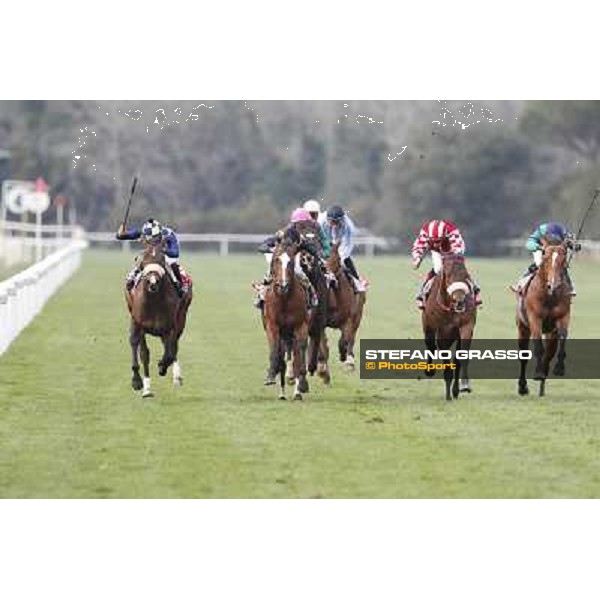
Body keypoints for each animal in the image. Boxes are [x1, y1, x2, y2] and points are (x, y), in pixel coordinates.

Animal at [124, 241, 192, 396]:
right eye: (142, 261)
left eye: (162, 260)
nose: (153, 282)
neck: (154, 300)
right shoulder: (139, 324)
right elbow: (143, 352)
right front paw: (142, 385)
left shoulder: (171, 326)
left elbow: (170, 352)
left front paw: (162, 366)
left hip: (181, 317)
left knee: (173, 347)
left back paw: (176, 375)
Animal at [262, 237, 310, 400]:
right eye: (276, 259)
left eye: (291, 261)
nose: (283, 285)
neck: (284, 299)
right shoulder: (273, 325)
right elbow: (275, 349)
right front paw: (271, 375)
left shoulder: (300, 326)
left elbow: (299, 355)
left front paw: (300, 387)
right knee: (282, 356)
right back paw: (282, 392)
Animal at [318, 241, 366, 382]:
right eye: (323, 258)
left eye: (338, 259)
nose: (328, 275)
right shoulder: (320, 322)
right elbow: (323, 346)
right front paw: (323, 371)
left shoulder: (349, 320)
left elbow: (344, 340)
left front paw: (345, 357)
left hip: (358, 317)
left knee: (351, 338)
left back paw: (348, 358)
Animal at [422, 255, 478, 400]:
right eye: (447, 276)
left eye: (466, 275)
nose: (459, 300)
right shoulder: (442, 332)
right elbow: (445, 361)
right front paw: (448, 395)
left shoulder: (466, 326)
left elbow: (461, 356)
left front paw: (464, 385)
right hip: (428, 327)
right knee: (430, 345)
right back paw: (430, 371)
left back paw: (456, 390)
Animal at [516, 241, 572, 396]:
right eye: (545, 259)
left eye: (563, 260)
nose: (553, 285)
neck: (549, 296)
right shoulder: (535, 318)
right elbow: (538, 347)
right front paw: (538, 373)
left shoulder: (563, 317)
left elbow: (562, 338)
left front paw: (559, 368)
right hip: (522, 327)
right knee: (523, 356)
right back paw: (523, 387)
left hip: (550, 333)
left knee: (549, 353)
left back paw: (542, 386)